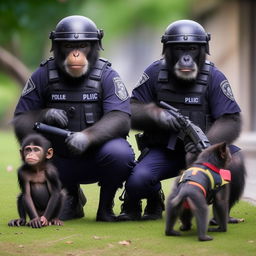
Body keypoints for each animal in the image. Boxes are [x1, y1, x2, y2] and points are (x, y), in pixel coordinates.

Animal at [12, 15, 135, 222]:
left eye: (83, 45)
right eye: (69, 45)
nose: (76, 54)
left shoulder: (113, 77)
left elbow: (118, 115)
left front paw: (79, 139)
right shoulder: (36, 76)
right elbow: (21, 118)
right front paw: (51, 115)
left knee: (117, 153)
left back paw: (104, 212)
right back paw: (69, 205)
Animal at [118, 19, 246, 222]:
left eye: (192, 48)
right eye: (179, 48)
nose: (186, 58)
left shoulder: (220, 80)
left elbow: (230, 118)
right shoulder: (149, 72)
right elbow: (133, 105)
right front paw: (166, 117)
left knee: (236, 162)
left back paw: (223, 217)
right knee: (142, 177)